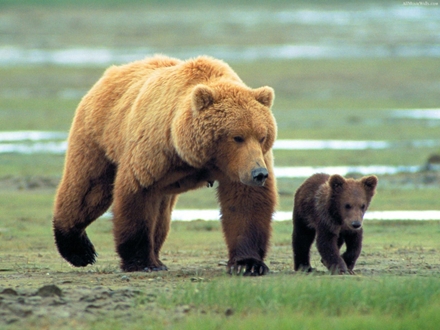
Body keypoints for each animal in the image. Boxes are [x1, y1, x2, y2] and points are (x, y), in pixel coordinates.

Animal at [53, 54, 276, 276]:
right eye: (237, 137)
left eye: (262, 136)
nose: (259, 173)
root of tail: (112, 72)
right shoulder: (155, 151)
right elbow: (137, 196)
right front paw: (141, 261)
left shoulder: (239, 166)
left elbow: (245, 203)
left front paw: (248, 264)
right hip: (99, 136)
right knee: (88, 189)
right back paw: (79, 250)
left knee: (160, 214)